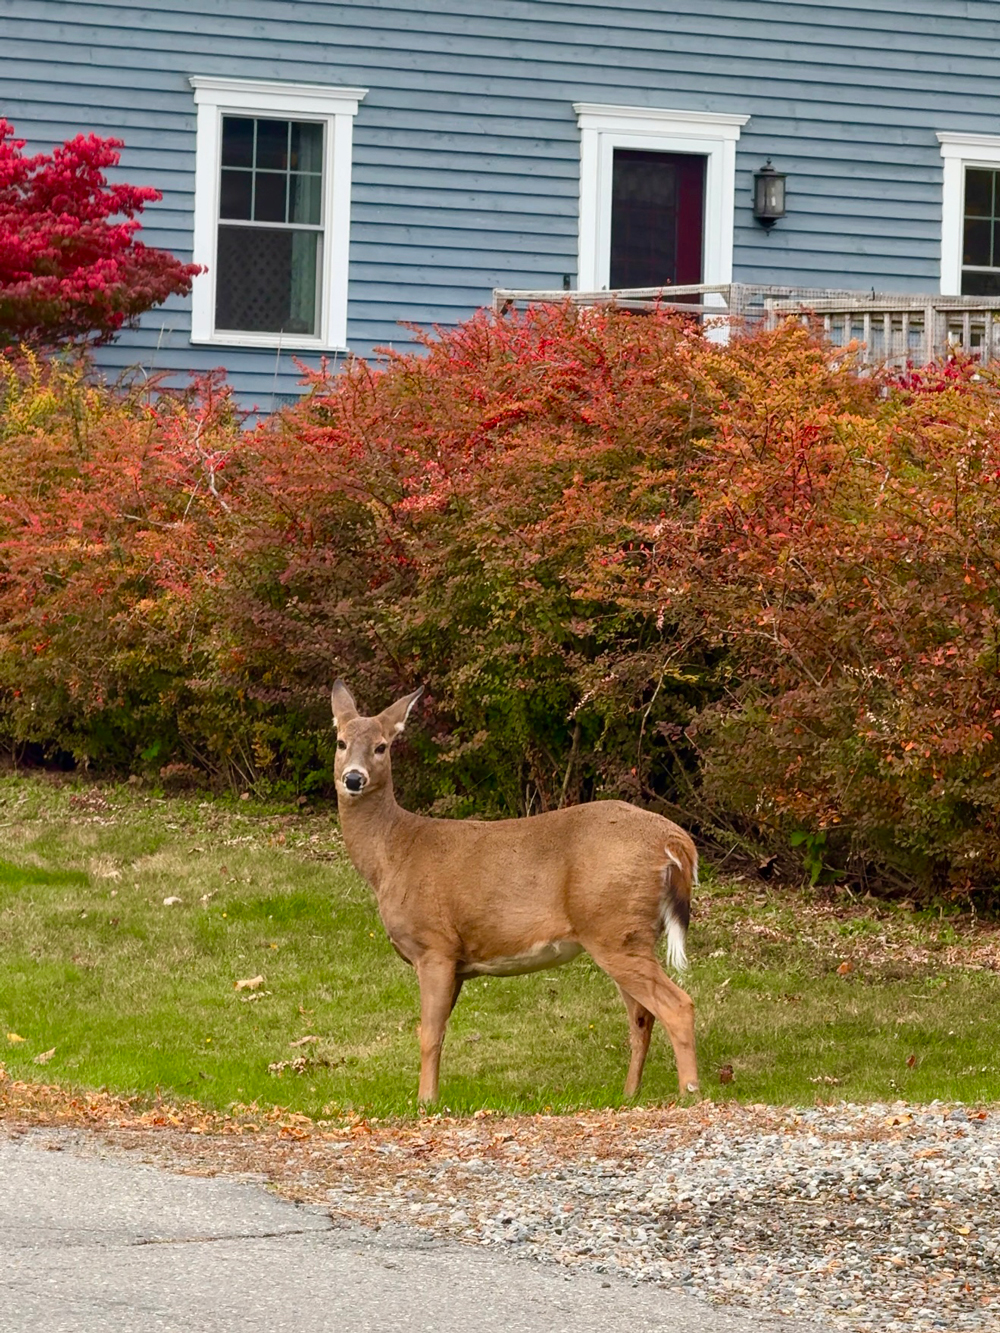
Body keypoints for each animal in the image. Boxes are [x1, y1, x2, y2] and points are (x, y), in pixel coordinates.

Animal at [331, 679, 700, 1105]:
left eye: (381, 746)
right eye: (341, 742)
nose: (353, 779)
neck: (392, 855)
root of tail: (675, 842)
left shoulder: (435, 945)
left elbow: (428, 1035)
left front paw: (426, 1103)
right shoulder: (457, 960)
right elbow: (439, 1032)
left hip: (612, 927)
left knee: (677, 1005)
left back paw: (689, 1091)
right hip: (628, 932)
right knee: (642, 1016)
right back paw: (628, 1094)